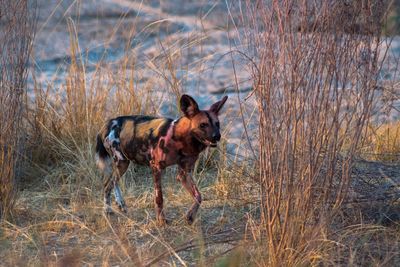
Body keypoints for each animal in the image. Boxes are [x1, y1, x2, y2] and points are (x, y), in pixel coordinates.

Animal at [94, 95, 228, 225]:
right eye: (202, 125)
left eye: (217, 124)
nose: (217, 136)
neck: (180, 140)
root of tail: (108, 124)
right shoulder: (156, 168)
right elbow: (159, 198)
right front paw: (161, 221)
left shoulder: (184, 173)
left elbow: (199, 196)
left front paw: (190, 216)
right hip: (122, 163)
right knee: (107, 184)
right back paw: (107, 210)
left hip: (122, 164)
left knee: (113, 182)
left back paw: (120, 204)